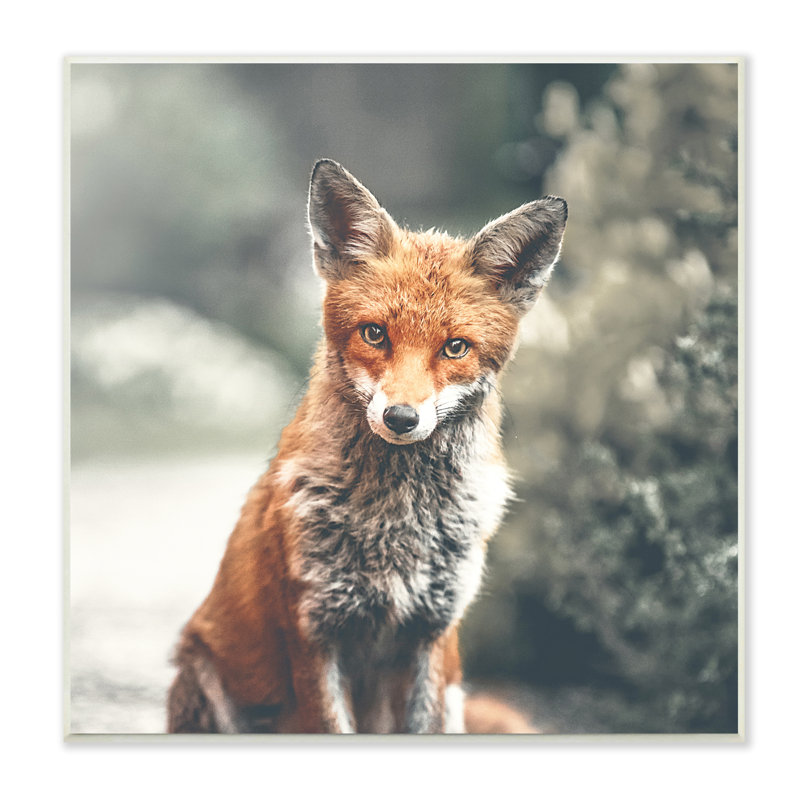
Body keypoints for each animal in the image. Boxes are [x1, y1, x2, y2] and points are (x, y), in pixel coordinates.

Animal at [166, 159, 567, 734]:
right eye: (375, 334)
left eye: (456, 347)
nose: (401, 418)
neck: (397, 521)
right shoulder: (314, 631)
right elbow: (330, 723)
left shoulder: (433, 632)